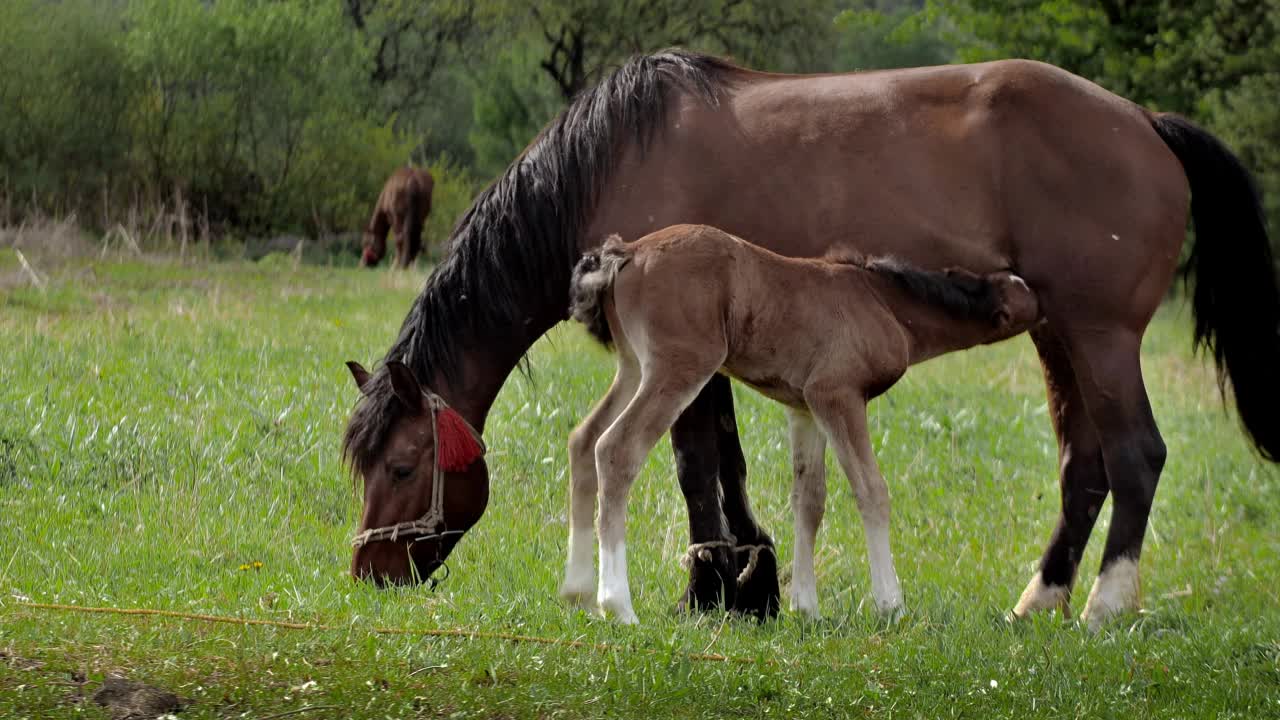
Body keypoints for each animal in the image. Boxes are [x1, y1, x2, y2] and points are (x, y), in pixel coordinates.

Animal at [563, 225, 1039, 622]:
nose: (1045, 301)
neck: (882, 301)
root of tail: (627, 251)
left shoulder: (804, 408)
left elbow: (809, 500)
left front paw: (806, 607)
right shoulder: (838, 395)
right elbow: (871, 491)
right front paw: (890, 604)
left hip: (633, 366)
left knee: (583, 439)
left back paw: (579, 594)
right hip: (679, 367)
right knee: (616, 448)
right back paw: (617, 605)